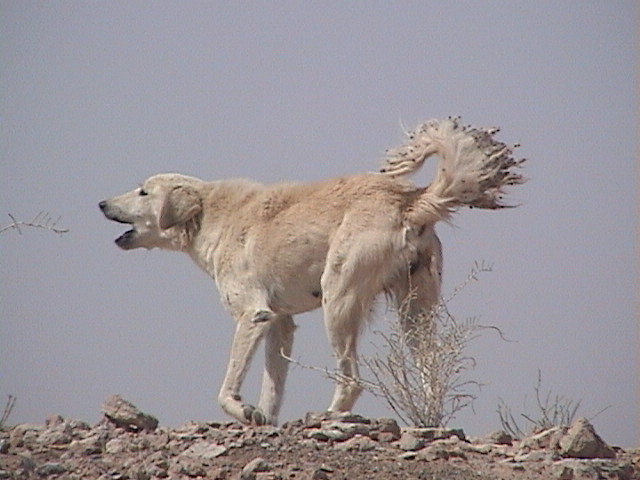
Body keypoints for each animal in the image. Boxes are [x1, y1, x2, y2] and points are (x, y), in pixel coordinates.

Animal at [97, 118, 524, 426]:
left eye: (143, 192)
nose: (100, 203)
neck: (209, 214)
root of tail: (409, 200)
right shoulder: (279, 323)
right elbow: (272, 388)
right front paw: (262, 421)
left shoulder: (252, 315)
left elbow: (226, 388)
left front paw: (242, 410)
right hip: (415, 313)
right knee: (430, 372)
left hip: (339, 303)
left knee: (351, 379)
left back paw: (329, 415)